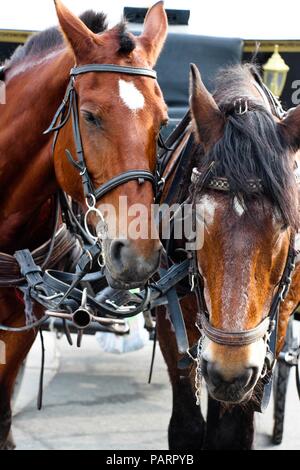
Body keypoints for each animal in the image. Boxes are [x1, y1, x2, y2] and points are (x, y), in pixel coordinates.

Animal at [157, 64, 300, 450]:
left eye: (284, 223)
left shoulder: (276, 323)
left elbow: (231, 433)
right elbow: (187, 426)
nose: (229, 369)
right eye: (194, 221)